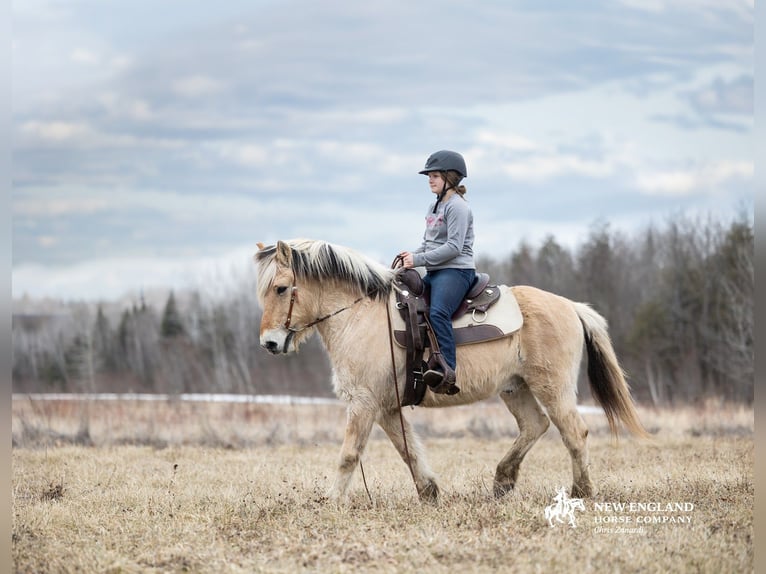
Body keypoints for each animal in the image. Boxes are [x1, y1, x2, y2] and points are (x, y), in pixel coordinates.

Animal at [254, 239, 649, 503]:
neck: (361, 316)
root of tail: (570, 306)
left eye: (282, 288)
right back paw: (502, 482)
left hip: (553, 387)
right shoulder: (385, 407)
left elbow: (349, 454)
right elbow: (408, 450)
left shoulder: (364, 404)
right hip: (515, 387)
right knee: (534, 425)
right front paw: (429, 493)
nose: (269, 343)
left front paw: (330, 501)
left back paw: (581, 492)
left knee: (574, 432)